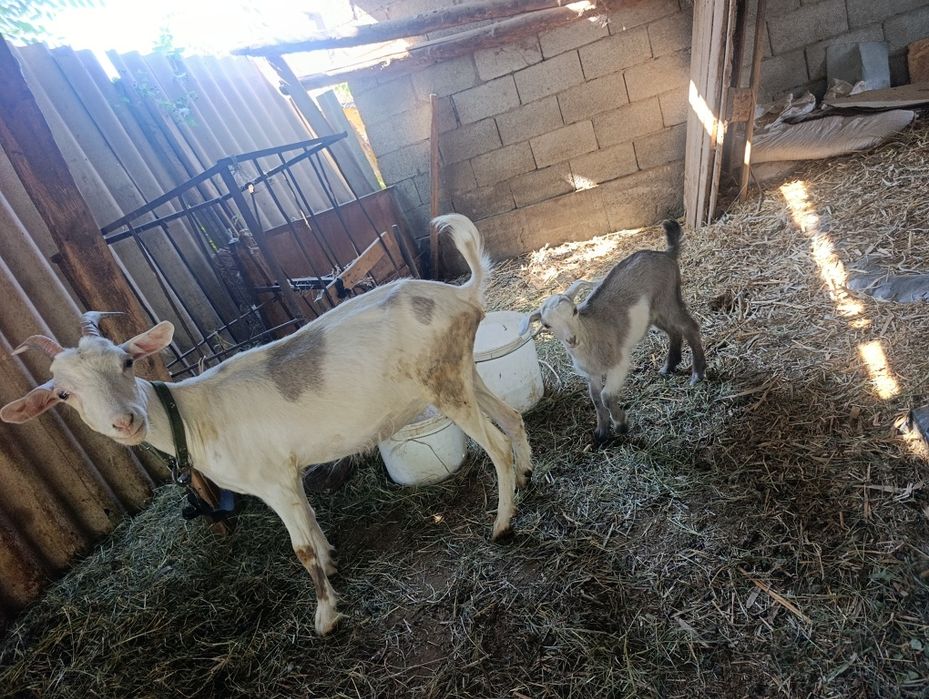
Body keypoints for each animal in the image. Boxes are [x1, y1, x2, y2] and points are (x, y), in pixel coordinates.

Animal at [1, 214, 532, 636]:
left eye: (127, 362)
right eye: (63, 394)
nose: (125, 420)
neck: (193, 417)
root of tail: (462, 294)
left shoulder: (271, 480)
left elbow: (300, 550)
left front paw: (325, 617)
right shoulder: (289, 474)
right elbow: (313, 525)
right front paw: (334, 565)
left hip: (443, 383)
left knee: (496, 445)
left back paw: (502, 523)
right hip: (460, 370)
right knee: (511, 416)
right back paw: (527, 474)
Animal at [522, 220, 705, 446]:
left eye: (574, 311)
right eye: (546, 325)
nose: (572, 339)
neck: (590, 334)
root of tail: (667, 254)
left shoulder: (618, 363)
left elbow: (607, 396)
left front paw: (621, 425)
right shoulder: (591, 374)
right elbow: (596, 399)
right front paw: (601, 433)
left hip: (668, 299)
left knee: (689, 327)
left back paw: (697, 373)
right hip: (654, 312)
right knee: (673, 331)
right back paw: (669, 366)